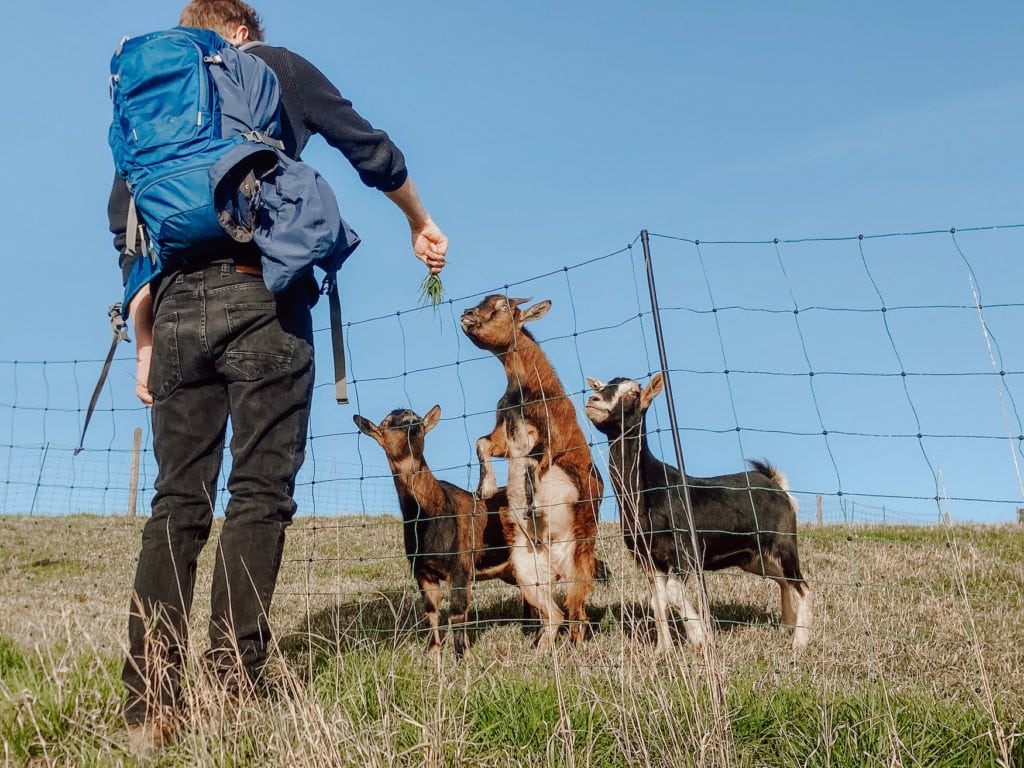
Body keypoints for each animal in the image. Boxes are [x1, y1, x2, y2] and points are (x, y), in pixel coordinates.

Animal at [458, 296, 602, 651]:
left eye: (503, 308)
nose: (466, 315)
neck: (528, 390)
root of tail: (554, 562)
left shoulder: (549, 438)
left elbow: (535, 462)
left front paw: (534, 505)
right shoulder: (503, 436)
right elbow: (482, 443)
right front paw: (485, 488)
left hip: (580, 555)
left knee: (577, 610)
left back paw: (573, 648)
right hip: (527, 568)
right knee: (555, 614)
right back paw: (541, 652)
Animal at [585, 376, 815, 651]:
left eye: (633, 393)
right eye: (600, 387)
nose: (593, 401)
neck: (649, 490)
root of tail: (776, 484)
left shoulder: (685, 552)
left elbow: (673, 594)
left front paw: (700, 637)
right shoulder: (649, 559)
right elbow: (658, 601)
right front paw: (664, 650)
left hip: (783, 543)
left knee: (802, 587)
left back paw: (799, 642)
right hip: (754, 556)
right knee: (783, 582)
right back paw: (786, 628)